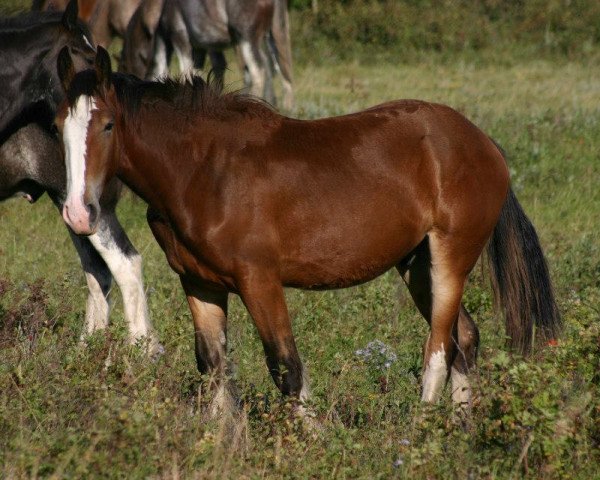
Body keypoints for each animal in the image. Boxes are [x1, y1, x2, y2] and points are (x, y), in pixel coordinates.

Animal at [57, 46, 564, 412]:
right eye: (61, 126)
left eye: (107, 125)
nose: (80, 214)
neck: (202, 172)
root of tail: (484, 143)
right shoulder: (200, 283)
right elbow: (214, 367)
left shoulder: (259, 282)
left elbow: (287, 368)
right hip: (416, 264)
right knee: (466, 339)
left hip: (449, 261)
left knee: (438, 351)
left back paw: (420, 434)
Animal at [119, 0, 292, 109]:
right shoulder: (199, 48)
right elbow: (198, 75)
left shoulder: (180, 38)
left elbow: (185, 71)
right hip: (270, 35)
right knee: (280, 70)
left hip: (246, 38)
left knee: (259, 71)